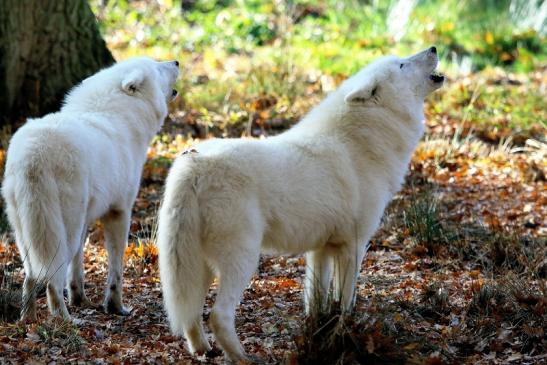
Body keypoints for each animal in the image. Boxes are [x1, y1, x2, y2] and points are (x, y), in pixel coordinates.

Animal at [3, 56, 181, 318]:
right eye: (157, 68)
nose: (176, 61)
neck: (119, 116)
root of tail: (33, 155)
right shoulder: (120, 212)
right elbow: (116, 269)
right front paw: (116, 307)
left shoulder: (86, 221)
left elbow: (77, 268)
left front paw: (80, 300)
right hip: (61, 231)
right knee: (51, 282)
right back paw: (65, 321)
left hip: (30, 233)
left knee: (31, 276)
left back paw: (28, 320)